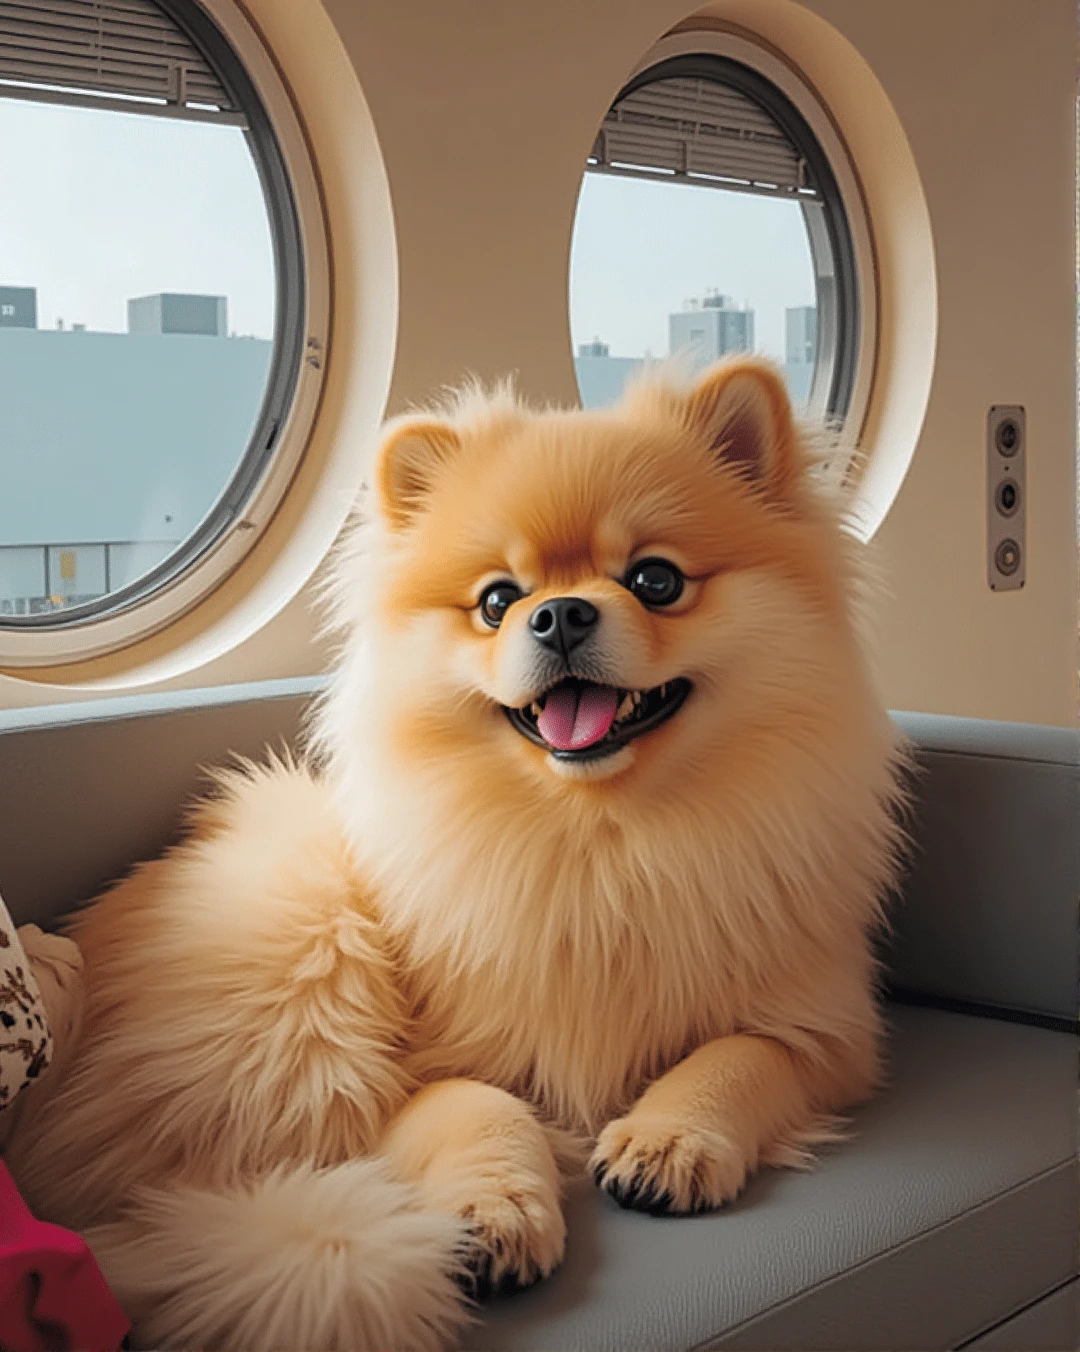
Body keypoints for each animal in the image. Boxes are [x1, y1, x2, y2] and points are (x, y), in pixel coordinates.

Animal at [4, 359, 908, 1352]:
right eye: (498, 601)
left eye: (656, 579)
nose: (559, 614)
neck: (598, 837)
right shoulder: (416, 1066)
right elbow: (481, 1103)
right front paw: (492, 1208)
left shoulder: (825, 1031)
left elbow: (737, 1057)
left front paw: (667, 1137)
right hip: (303, 953)